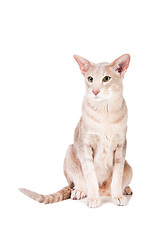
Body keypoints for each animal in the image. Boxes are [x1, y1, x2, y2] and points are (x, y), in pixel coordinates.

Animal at [19, 53, 132, 207]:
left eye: (106, 78)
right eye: (90, 79)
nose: (95, 91)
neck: (105, 112)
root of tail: (103, 191)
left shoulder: (121, 146)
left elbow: (117, 178)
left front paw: (118, 196)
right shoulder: (86, 145)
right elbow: (90, 177)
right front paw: (93, 199)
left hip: (129, 167)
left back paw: (124, 189)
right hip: (69, 152)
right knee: (77, 183)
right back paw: (80, 191)